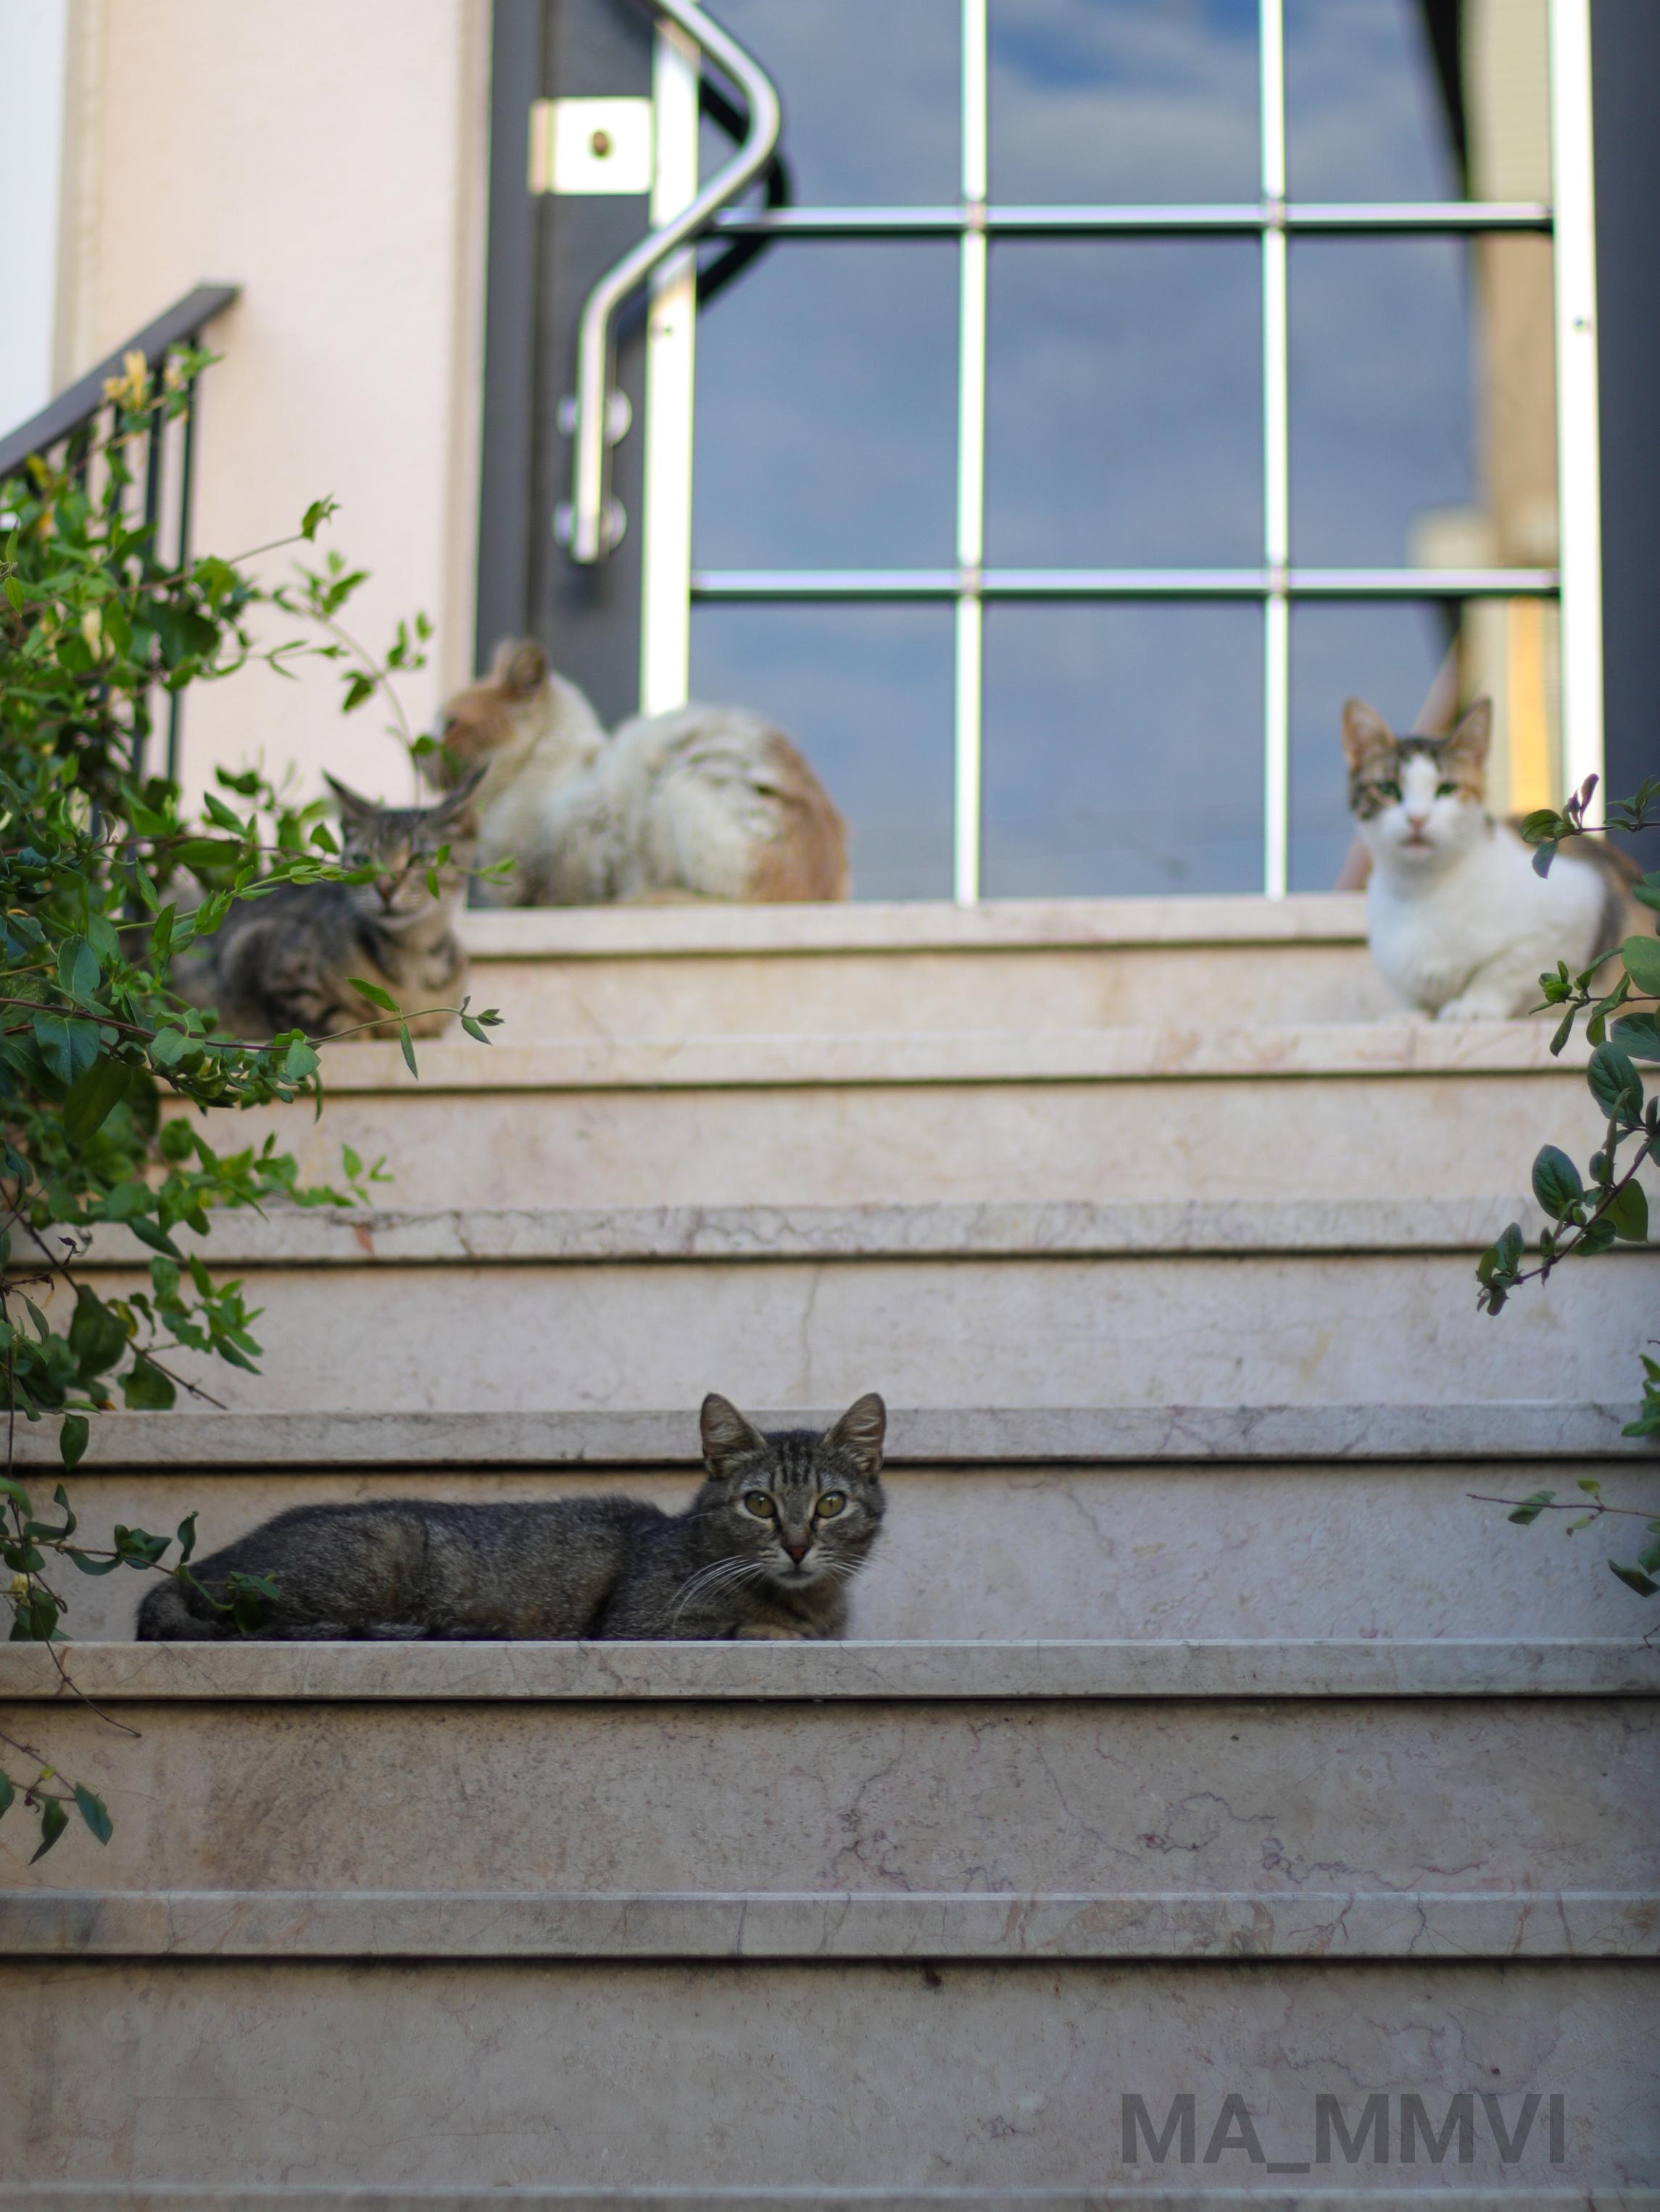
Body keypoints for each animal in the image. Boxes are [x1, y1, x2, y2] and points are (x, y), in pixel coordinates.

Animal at [136, 1397, 889, 1645]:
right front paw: (778, 1629)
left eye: (830, 1504)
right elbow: (745, 1628)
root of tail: (186, 1570)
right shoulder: (643, 1626)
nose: (798, 1545)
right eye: (760, 1504)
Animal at [177, 770, 486, 1044]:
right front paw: (368, 1029)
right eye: (362, 859)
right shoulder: (256, 950)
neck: (414, 956)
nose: (385, 888)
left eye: (419, 858)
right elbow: (333, 1019)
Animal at [436, 641, 850, 907]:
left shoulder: (575, 851)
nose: (422, 746)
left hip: (678, 787)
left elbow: (552, 893)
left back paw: (652, 897)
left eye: (450, 724)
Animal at [1354, 694, 1655, 1022]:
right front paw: (1409, 1014)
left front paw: (1473, 1004)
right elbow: (1409, 993)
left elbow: (1502, 971)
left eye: (1447, 789)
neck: (1419, 889)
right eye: (1387, 789)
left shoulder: (1580, 905)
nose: (1417, 818)